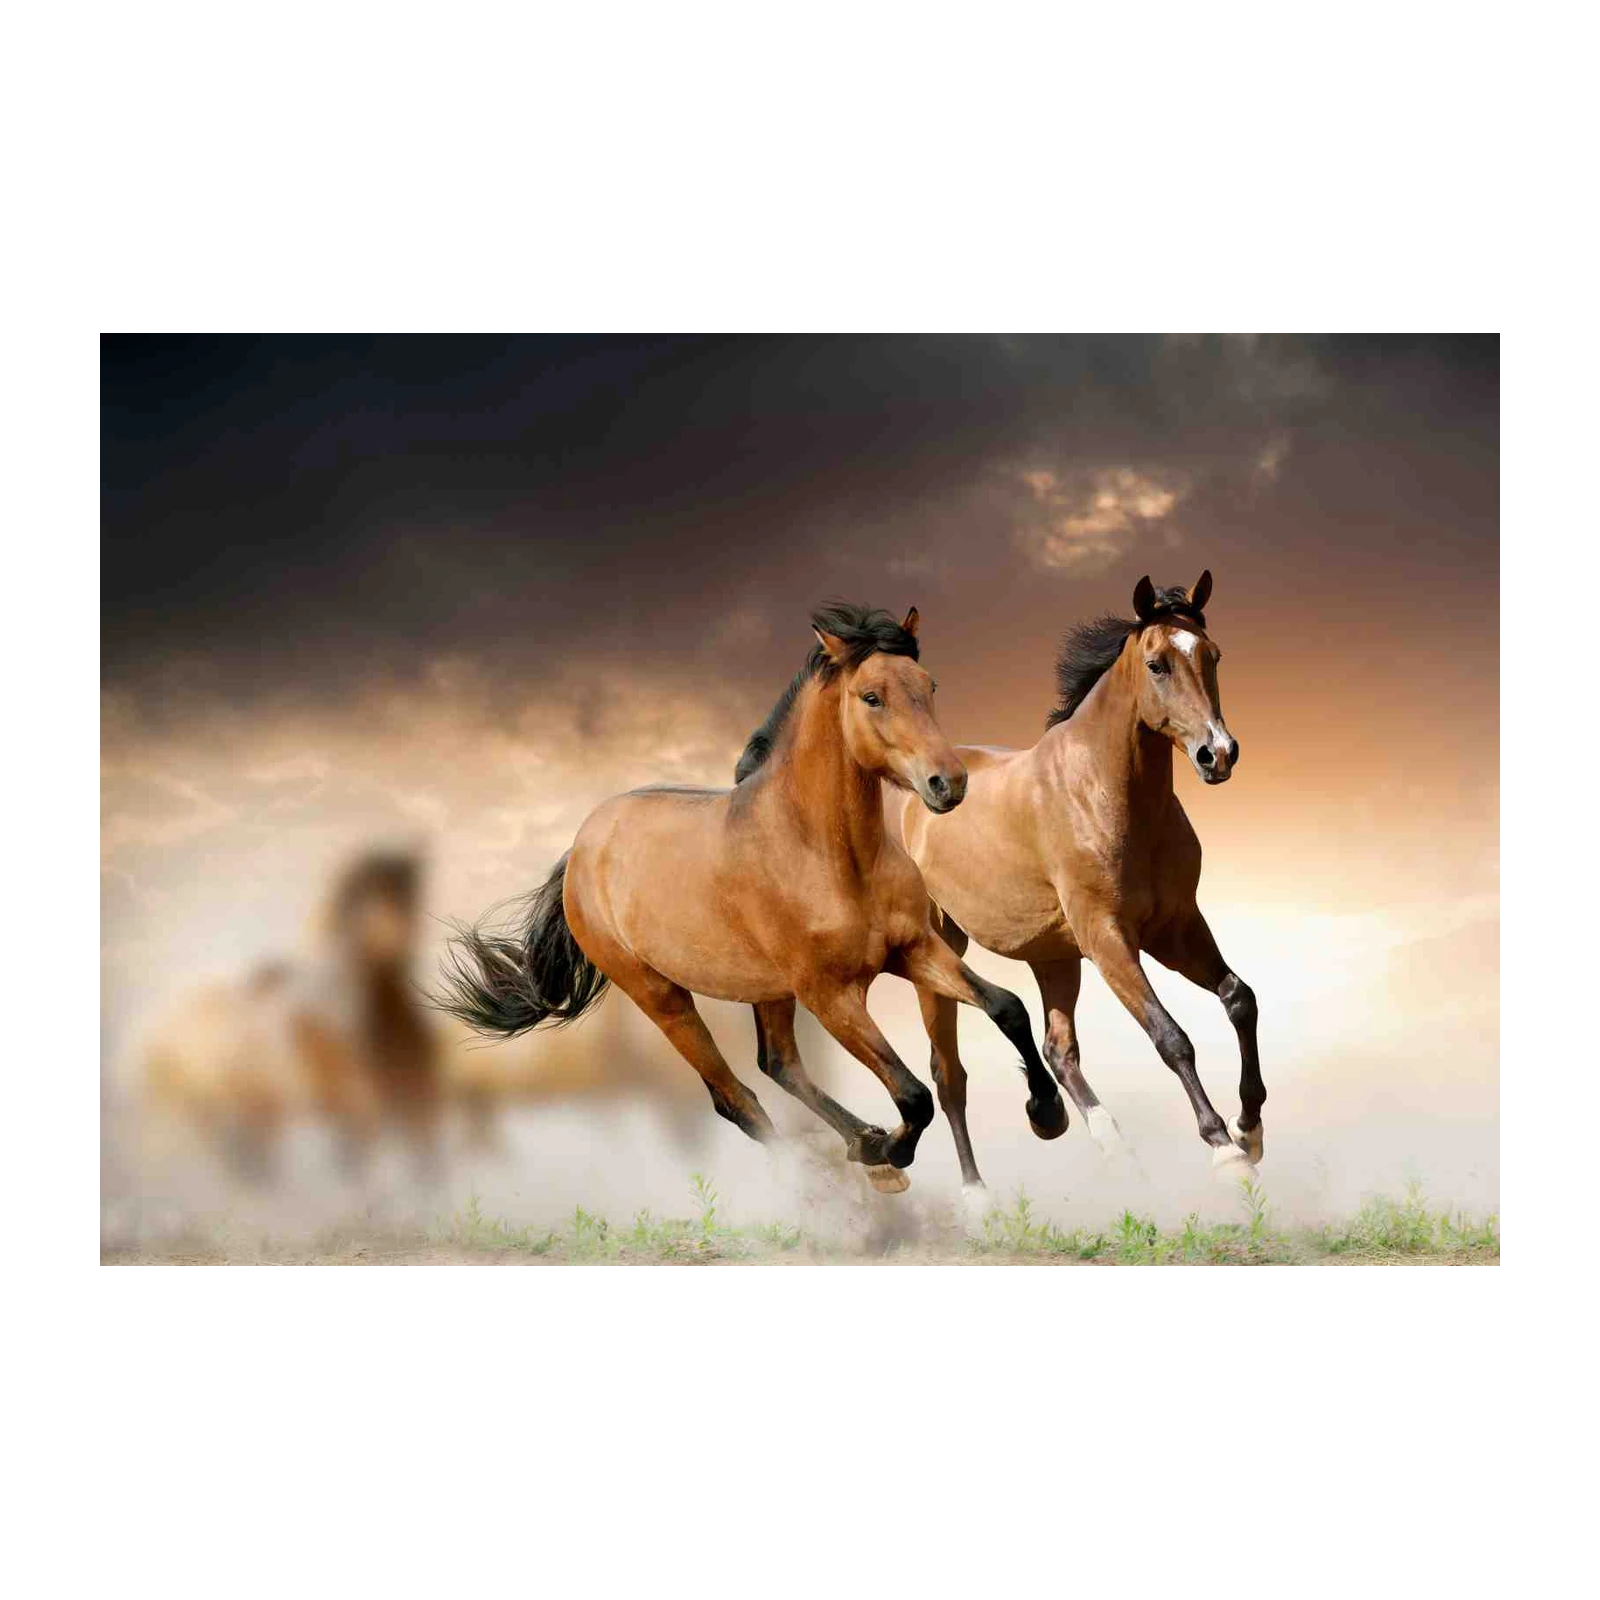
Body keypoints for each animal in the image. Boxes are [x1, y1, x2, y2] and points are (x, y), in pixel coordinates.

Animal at [434, 602, 1067, 1191]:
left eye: (929, 686)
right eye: (871, 697)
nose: (948, 784)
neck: (829, 855)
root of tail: (581, 849)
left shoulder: (913, 950)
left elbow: (1007, 1007)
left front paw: (1047, 1113)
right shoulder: (830, 995)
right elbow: (913, 1095)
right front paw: (892, 1151)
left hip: (768, 990)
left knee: (778, 1064)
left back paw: (862, 1143)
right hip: (662, 996)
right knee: (735, 1098)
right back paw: (843, 1174)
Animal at [899, 571, 1264, 1190]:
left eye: (1212, 656)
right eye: (1158, 664)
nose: (1218, 754)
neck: (1105, 794)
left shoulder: (1175, 928)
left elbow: (1240, 999)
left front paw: (1250, 1127)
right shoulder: (1109, 939)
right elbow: (1171, 1037)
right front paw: (1223, 1147)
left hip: (1054, 957)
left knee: (1057, 1050)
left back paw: (1102, 1142)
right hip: (941, 952)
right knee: (949, 1076)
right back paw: (977, 1194)